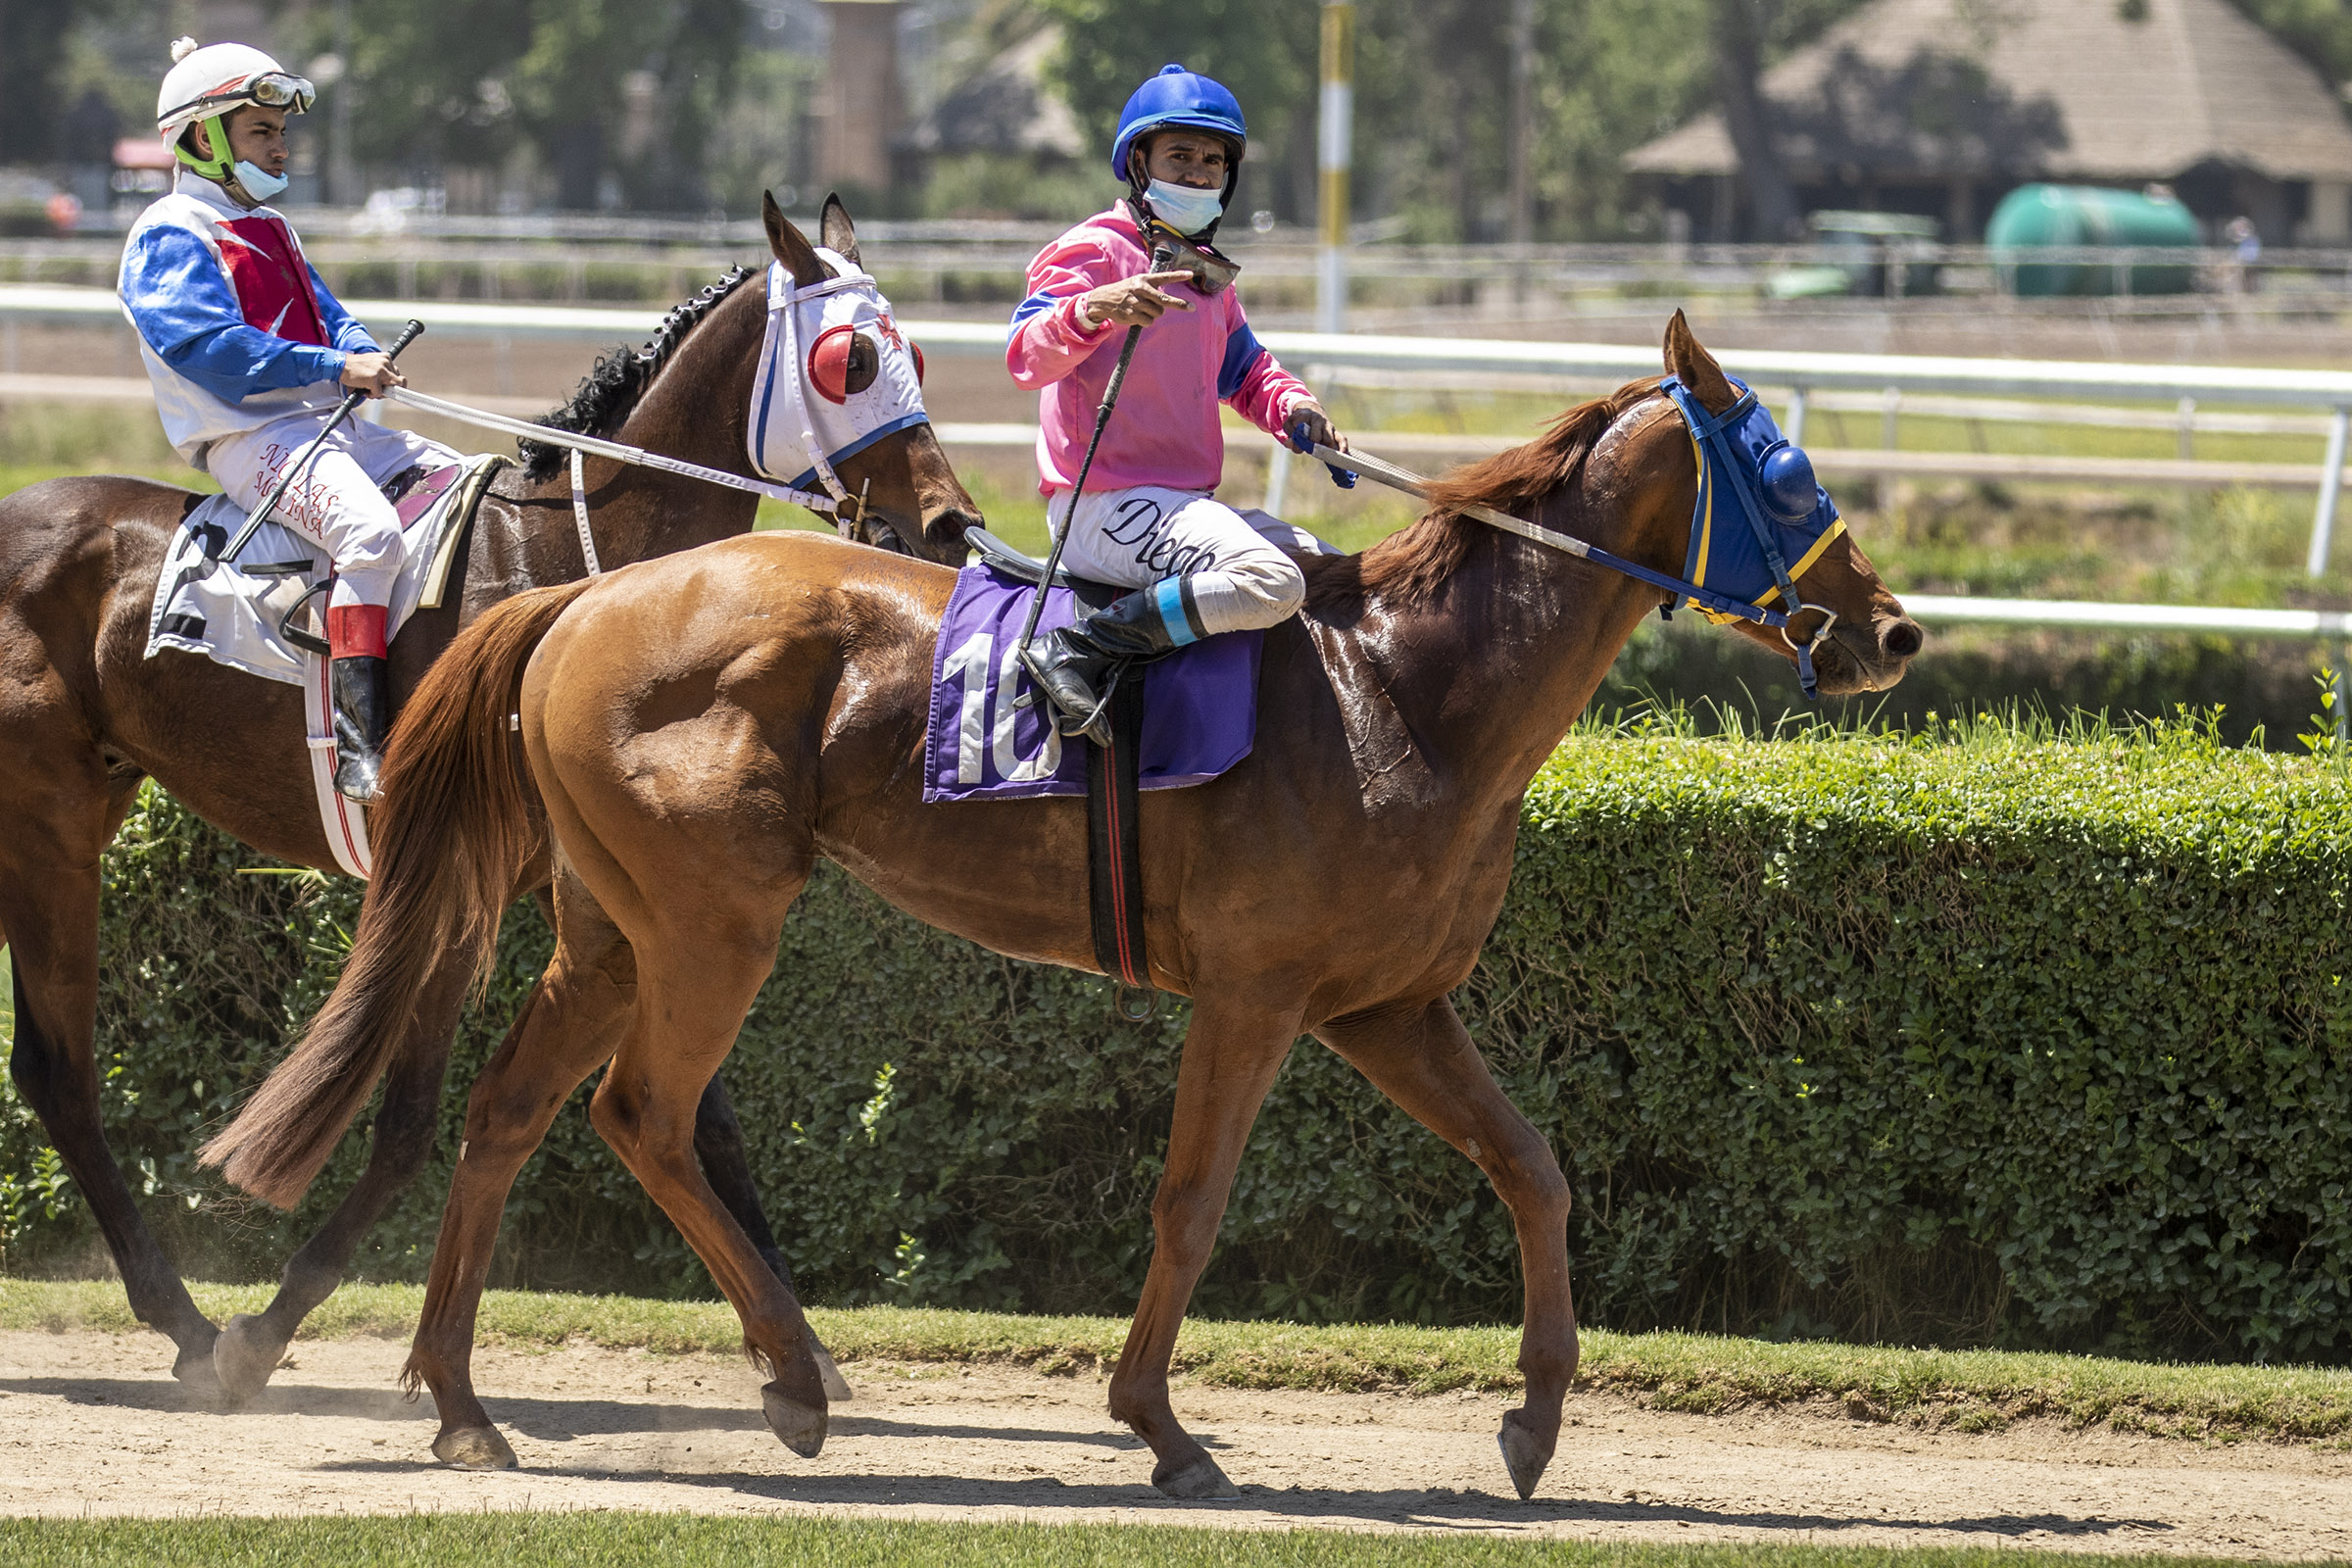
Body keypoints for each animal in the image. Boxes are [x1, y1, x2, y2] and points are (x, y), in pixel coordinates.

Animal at [0, 193, 976, 1402]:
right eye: (851, 359)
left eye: (917, 352)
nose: (946, 525)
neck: (562, 571)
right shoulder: (459, 882)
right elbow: (410, 1123)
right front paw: (265, 1332)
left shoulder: (614, 888)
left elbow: (705, 1115)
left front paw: (800, 1341)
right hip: (44, 822)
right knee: (61, 1068)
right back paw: (186, 1321)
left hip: (81, 807)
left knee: (46, 1065)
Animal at [204, 312, 1921, 1493]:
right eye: (1783, 473)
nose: (1893, 630)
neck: (1406, 694)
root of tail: (579, 602)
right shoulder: (1258, 997)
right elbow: (1191, 1201)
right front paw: (1160, 1426)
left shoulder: (1387, 1005)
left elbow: (1538, 1172)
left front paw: (1538, 1418)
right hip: (711, 923)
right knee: (644, 1114)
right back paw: (794, 1377)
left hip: (610, 928)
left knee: (508, 1109)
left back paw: (466, 1405)